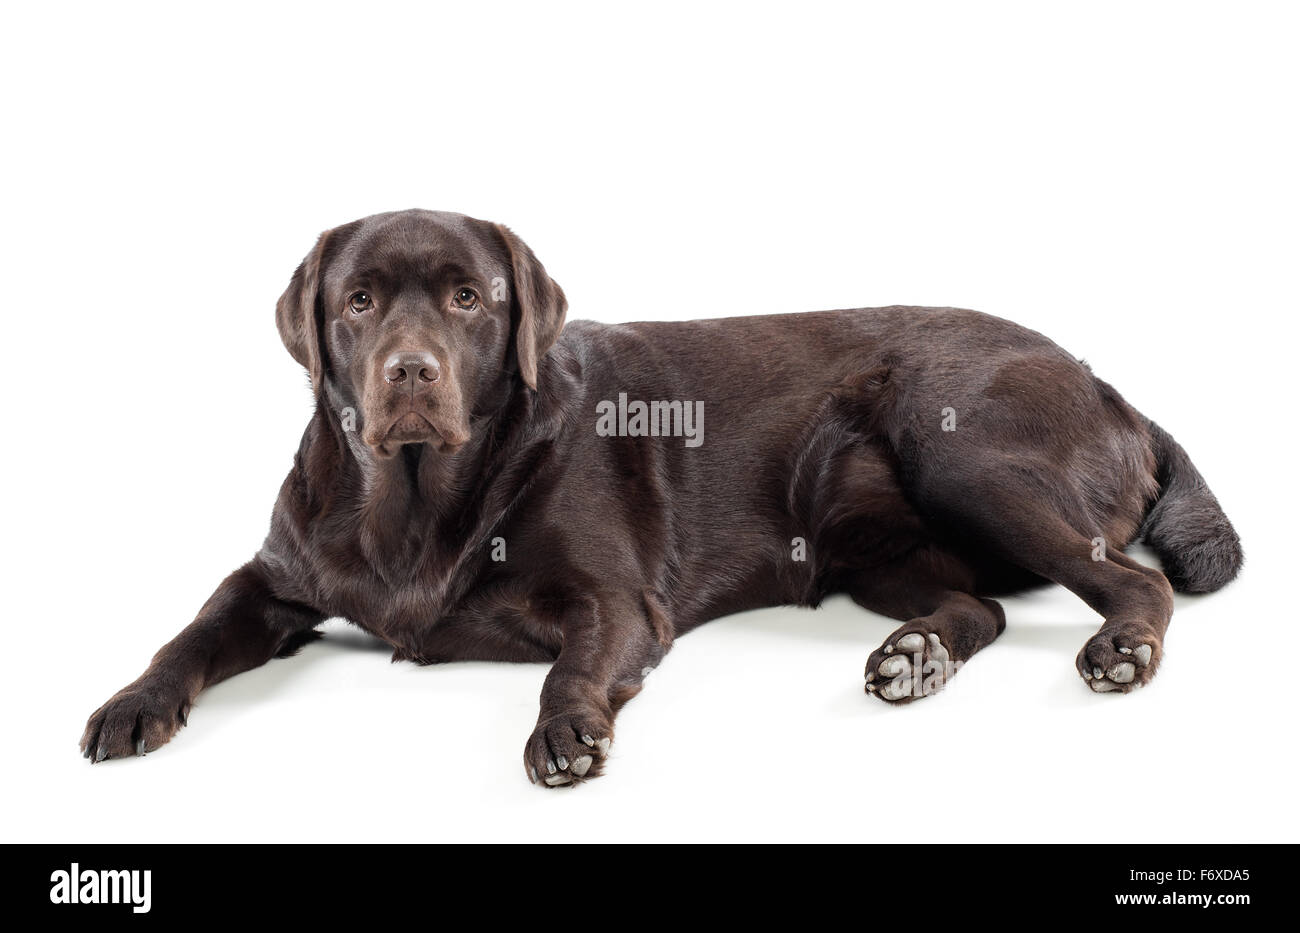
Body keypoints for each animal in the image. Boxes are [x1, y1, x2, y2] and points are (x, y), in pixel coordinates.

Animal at [78, 207, 1237, 784]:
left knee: (1128, 582)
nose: (409, 370)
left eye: (469, 297)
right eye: (357, 301)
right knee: (979, 606)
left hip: (964, 452)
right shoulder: (271, 575)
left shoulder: (615, 601)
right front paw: (131, 701)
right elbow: (192, 628)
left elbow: (575, 666)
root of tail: (1106, 380)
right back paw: (915, 656)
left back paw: (1118, 649)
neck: (412, 502)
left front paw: (566, 733)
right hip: (868, 542)